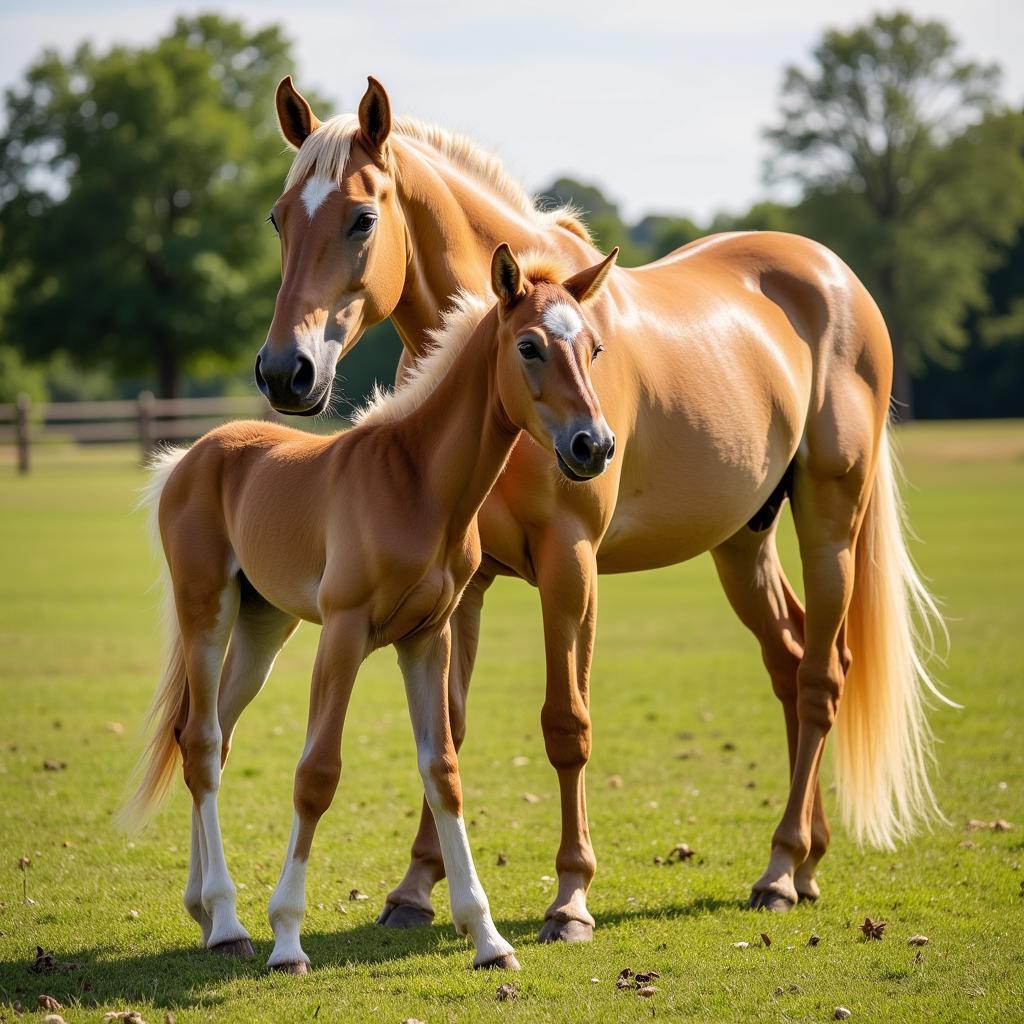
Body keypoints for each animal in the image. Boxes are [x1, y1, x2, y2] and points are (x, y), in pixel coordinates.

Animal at [121, 243, 614, 970]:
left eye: (595, 348)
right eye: (529, 345)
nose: (593, 446)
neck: (416, 485)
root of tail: (189, 456)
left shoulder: (427, 638)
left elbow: (443, 771)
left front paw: (487, 938)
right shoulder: (345, 633)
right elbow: (317, 773)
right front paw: (288, 939)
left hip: (264, 628)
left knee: (203, 735)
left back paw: (206, 914)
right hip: (206, 612)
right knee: (205, 744)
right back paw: (233, 922)